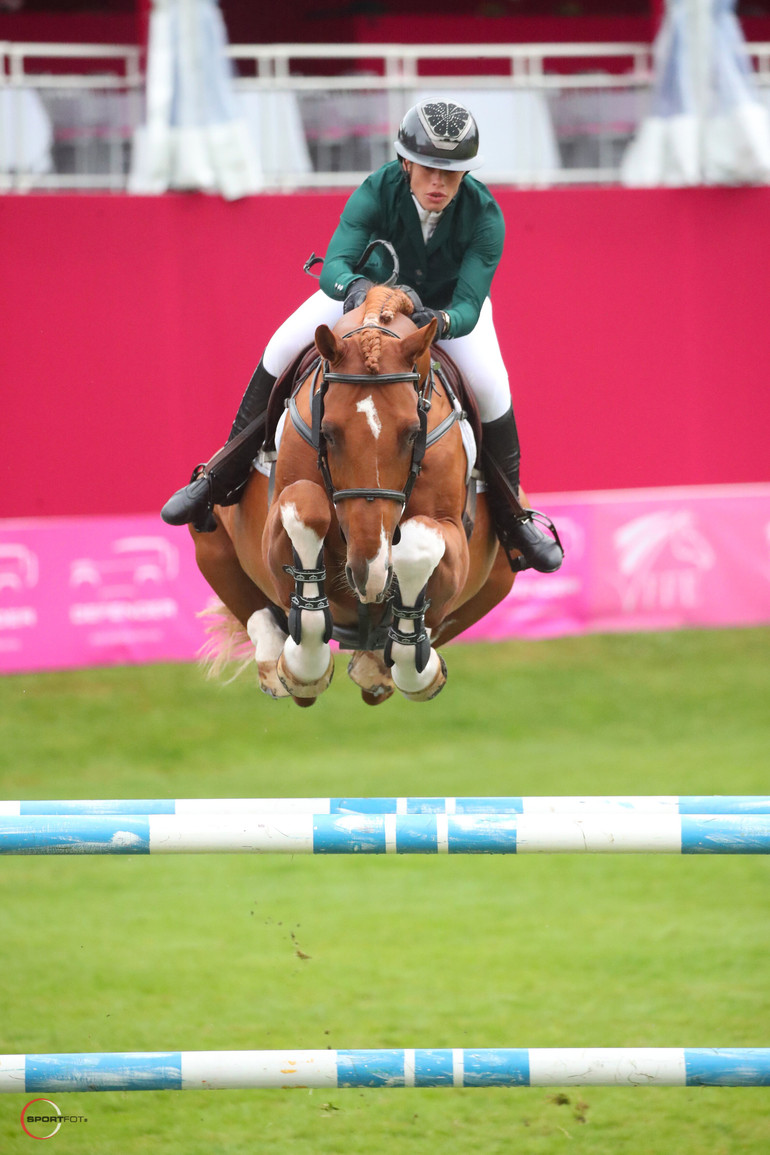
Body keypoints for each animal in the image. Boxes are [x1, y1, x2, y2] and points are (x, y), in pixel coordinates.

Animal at [192, 287, 517, 702]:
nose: (366, 573)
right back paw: (278, 666)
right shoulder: (279, 520)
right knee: (260, 617)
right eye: (328, 432)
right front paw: (305, 664)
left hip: (500, 576)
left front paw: (411, 651)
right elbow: (305, 505)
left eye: (413, 433)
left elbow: (421, 542)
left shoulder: (451, 533)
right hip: (211, 535)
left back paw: (381, 665)